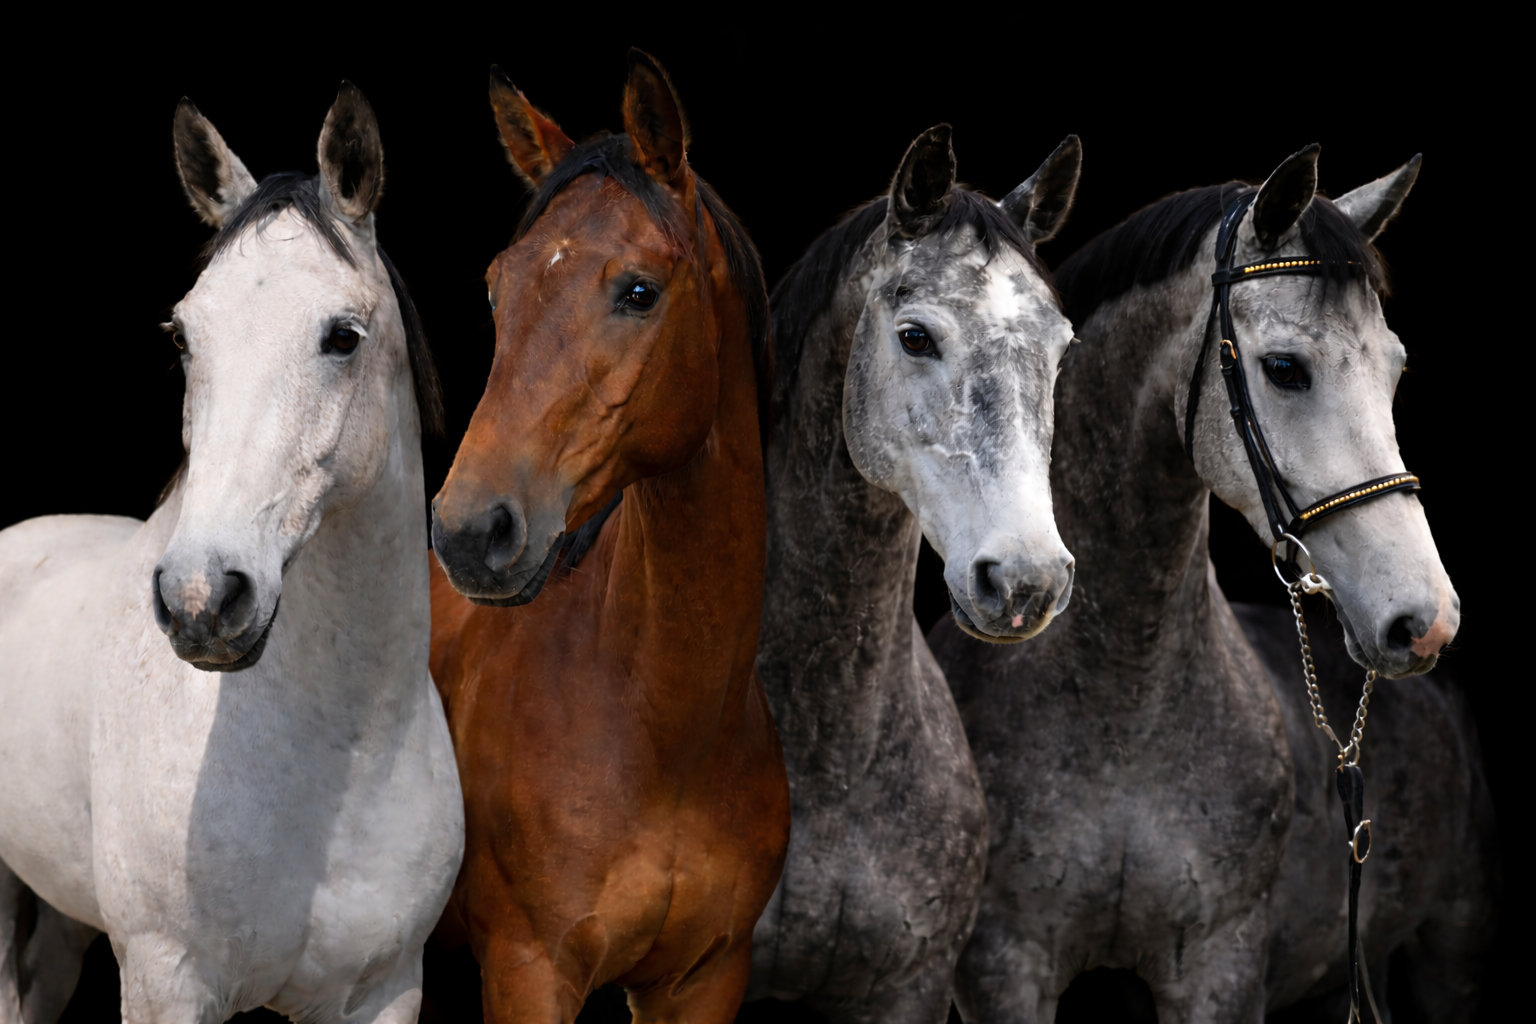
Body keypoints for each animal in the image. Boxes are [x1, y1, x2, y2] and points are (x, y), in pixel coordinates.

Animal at [931, 146, 1472, 1023]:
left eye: (1395, 369)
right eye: (1284, 368)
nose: (1424, 619)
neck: (1123, 703)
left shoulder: (1220, 965)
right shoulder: (1004, 968)